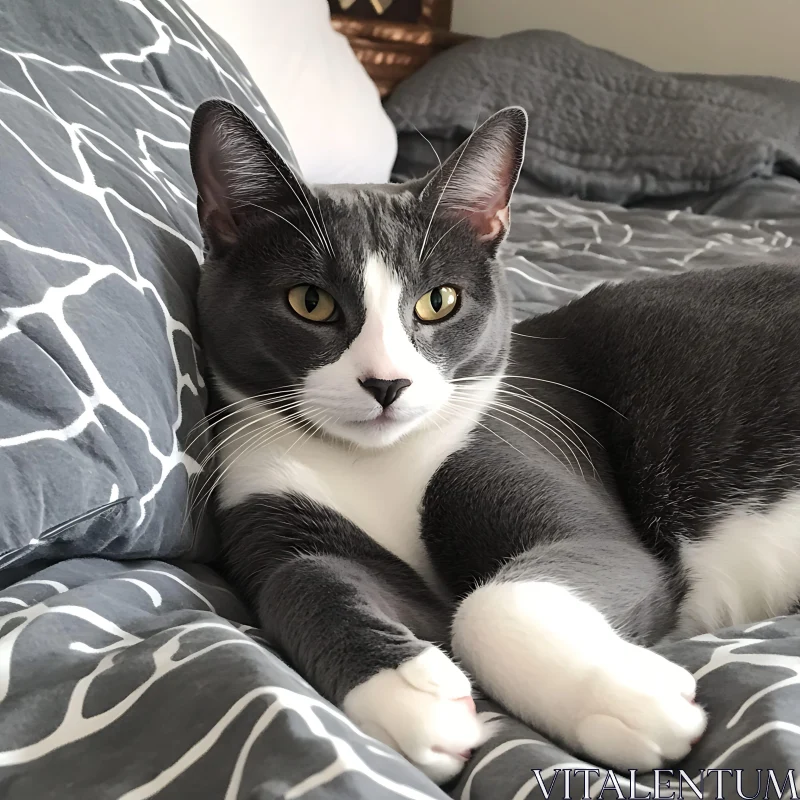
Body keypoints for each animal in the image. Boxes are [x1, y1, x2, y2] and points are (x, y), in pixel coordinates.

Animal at [186, 98, 800, 780]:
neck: (378, 463)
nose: (386, 383)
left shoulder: (523, 447)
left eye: (439, 301)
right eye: (310, 302)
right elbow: (297, 577)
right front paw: (412, 696)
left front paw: (631, 701)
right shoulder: (262, 494)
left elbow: (503, 595)